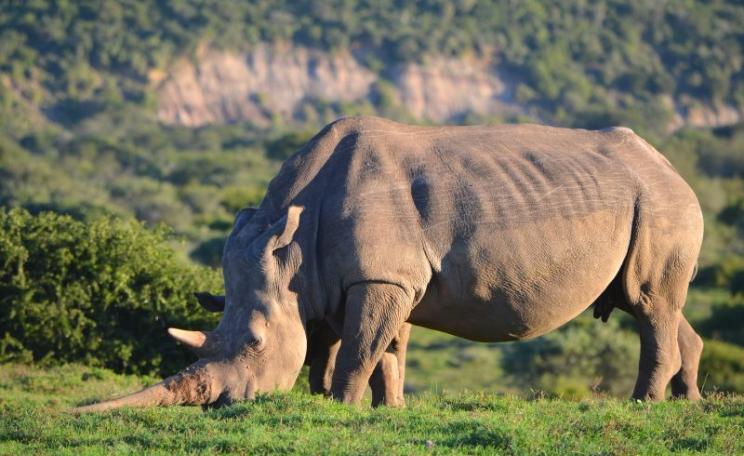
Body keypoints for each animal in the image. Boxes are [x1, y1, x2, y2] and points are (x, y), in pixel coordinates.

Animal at [74, 116, 704, 412]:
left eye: (254, 344)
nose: (222, 403)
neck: (293, 247)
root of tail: (672, 167)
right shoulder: (377, 279)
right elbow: (379, 349)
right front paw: (381, 407)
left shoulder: (380, 276)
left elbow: (359, 348)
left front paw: (341, 406)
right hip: (652, 202)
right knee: (653, 304)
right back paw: (689, 401)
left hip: (661, 203)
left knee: (648, 303)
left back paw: (644, 404)